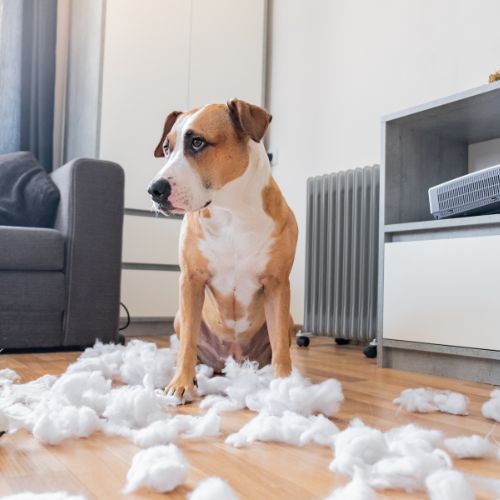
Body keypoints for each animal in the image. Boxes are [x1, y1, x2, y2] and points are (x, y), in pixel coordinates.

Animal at [148, 99, 296, 400]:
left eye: (197, 142)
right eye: (167, 147)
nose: (154, 190)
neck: (231, 211)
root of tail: (232, 360)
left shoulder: (277, 284)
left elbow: (279, 347)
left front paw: (283, 386)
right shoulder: (191, 280)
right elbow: (188, 342)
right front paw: (180, 383)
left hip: (289, 319)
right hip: (180, 317)